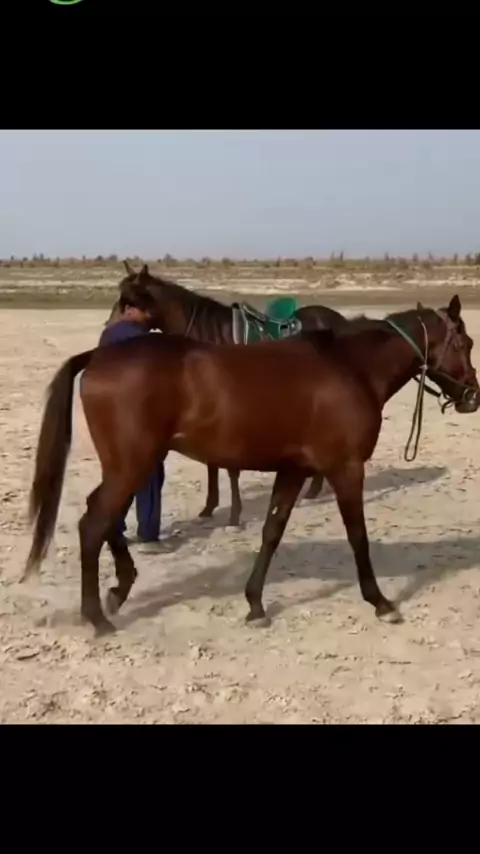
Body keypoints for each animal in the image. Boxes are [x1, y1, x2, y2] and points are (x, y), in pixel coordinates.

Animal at [23, 294, 479, 637]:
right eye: (466, 343)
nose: (472, 396)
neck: (350, 367)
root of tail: (100, 355)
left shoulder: (294, 470)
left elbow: (272, 532)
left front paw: (255, 604)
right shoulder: (346, 468)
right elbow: (358, 537)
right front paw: (382, 602)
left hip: (128, 465)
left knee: (102, 518)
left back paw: (120, 588)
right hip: (132, 465)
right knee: (94, 524)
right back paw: (98, 616)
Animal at [107, 261, 351, 524]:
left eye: (130, 301)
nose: (110, 329)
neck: (208, 337)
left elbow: (231, 467)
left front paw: (234, 513)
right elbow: (212, 463)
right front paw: (209, 507)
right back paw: (314, 489)